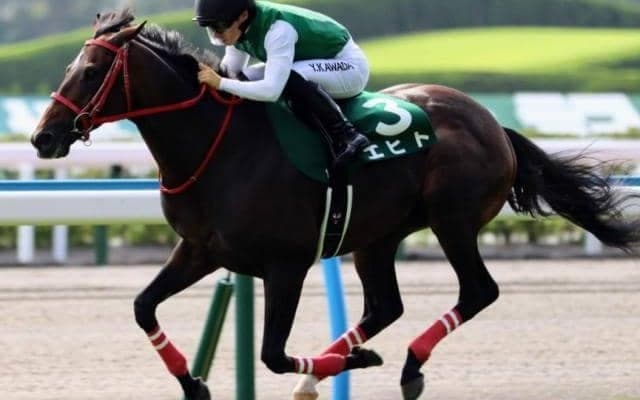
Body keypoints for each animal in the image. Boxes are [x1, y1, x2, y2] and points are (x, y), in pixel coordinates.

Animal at [30, 10, 640, 400]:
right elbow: (143, 307)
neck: (216, 146)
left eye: (90, 72)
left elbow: (272, 354)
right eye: (68, 69)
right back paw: (331, 370)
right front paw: (194, 382)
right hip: (379, 235)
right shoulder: (200, 250)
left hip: (452, 219)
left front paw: (349, 363)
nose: (43, 138)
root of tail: (491, 121)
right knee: (385, 306)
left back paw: (405, 366)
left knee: (477, 291)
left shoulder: (286, 265)